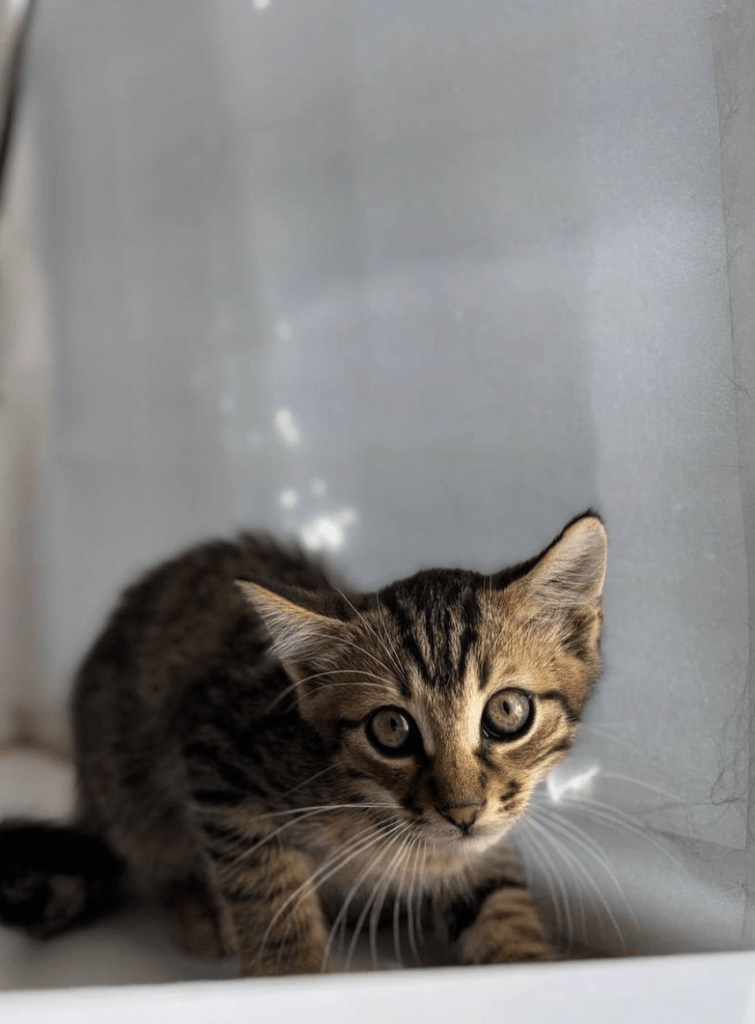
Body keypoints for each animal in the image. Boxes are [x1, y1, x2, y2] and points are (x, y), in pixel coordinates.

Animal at [0, 512, 602, 974]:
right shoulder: (216, 754)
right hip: (126, 786)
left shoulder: (486, 841)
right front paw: (289, 975)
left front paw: (527, 963)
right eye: (392, 729)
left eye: (507, 712)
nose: (463, 812)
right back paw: (197, 911)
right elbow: (265, 883)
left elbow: (498, 897)